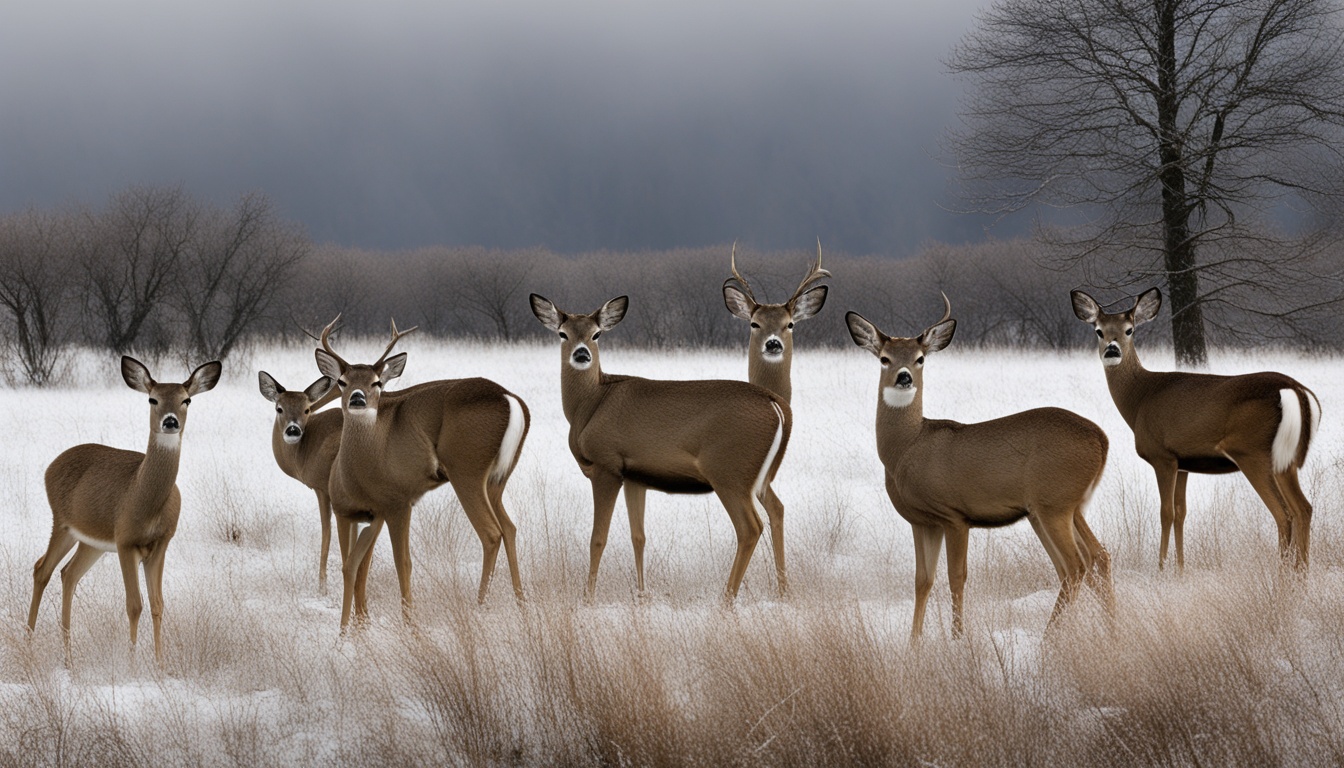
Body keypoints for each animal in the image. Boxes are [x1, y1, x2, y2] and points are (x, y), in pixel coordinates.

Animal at [27, 357, 221, 664]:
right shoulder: (125, 541)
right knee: (42, 570)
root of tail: (51, 466)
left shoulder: (161, 544)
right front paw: (131, 663)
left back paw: (68, 657)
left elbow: (157, 604)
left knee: (68, 573)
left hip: (91, 541)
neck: (145, 500)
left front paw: (160, 664)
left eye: (186, 400)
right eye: (152, 399)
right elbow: (134, 605)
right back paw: (30, 643)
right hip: (62, 522)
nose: (170, 421)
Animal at [311, 318, 526, 632]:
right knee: (509, 527)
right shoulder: (366, 512)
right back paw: (520, 600)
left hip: (467, 469)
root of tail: (510, 399)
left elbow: (401, 562)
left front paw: (408, 621)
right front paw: (361, 624)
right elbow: (360, 564)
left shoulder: (397, 502)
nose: (358, 399)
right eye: (342, 381)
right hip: (497, 478)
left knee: (491, 532)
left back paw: (479, 606)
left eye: (376, 382)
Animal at [529, 294, 790, 599]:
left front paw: (588, 596)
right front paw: (642, 595)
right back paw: (783, 590)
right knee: (777, 508)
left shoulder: (606, 465)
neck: (590, 404)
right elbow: (638, 536)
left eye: (596, 334)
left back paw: (726, 598)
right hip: (758, 477)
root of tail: (776, 405)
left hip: (729, 472)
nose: (581, 354)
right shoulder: (635, 475)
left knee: (749, 528)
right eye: (563, 334)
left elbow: (598, 538)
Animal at [849, 297, 1112, 640]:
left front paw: (958, 637)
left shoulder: (954, 515)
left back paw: (1049, 638)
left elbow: (956, 576)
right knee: (1096, 556)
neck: (906, 448)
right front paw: (914, 642)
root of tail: (1102, 439)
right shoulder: (922, 521)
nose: (904, 377)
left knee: (1075, 564)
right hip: (1063, 507)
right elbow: (923, 581)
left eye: (920, 359)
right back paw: (1112, 628)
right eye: (884, 358)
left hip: (1054, 504)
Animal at [1069, 287, 1322, 570]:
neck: (1140, 399)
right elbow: (1181, 512)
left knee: (1284, 513)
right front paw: (1180, 569)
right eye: (1099, 330)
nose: (1112, 351)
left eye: (1129, 329)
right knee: (1303, 508)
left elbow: (1166, 512)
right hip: (1286, 459)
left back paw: (1283, 576)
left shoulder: (1162, 456)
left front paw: (1161, 568)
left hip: (1253, 452)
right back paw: (1300, 575)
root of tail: (1297, 391)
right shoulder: (1184, 462)